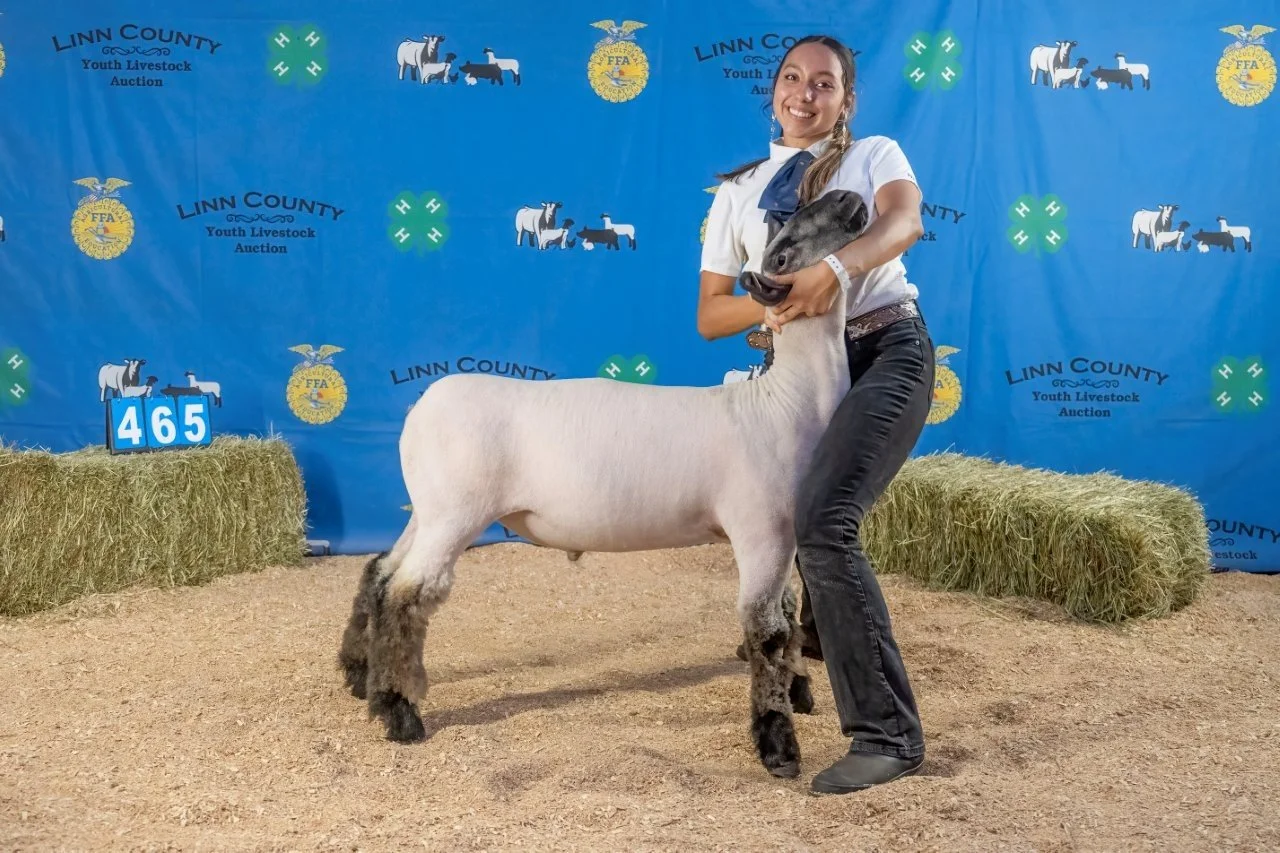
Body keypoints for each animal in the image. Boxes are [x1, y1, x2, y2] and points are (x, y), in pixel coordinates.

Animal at [336, 188, 872, 779]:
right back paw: (399, 712)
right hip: (455, 513)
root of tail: (420, 407)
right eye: (783, 250)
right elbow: (768, 631)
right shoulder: (763, 530)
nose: (846, 195)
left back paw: (360, 677)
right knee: (406, 595)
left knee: (380, 573)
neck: (785, 403)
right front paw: (778, 745)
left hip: (430, 509)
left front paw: (799, 691)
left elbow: (788, 616)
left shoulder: (787, 534)